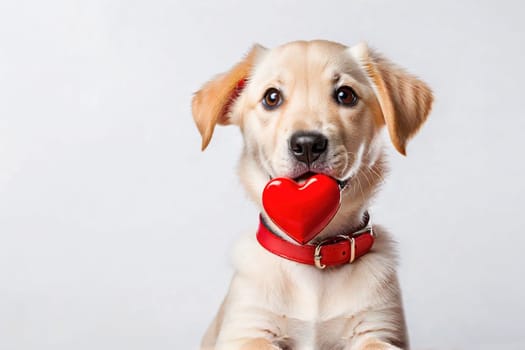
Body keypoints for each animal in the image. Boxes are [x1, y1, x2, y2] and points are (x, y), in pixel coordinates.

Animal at [190, 39, 432, 348]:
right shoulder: (245, 330)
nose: (306, 144)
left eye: (345, 95)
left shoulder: (380, 329)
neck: (313, 256)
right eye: (271, 98)